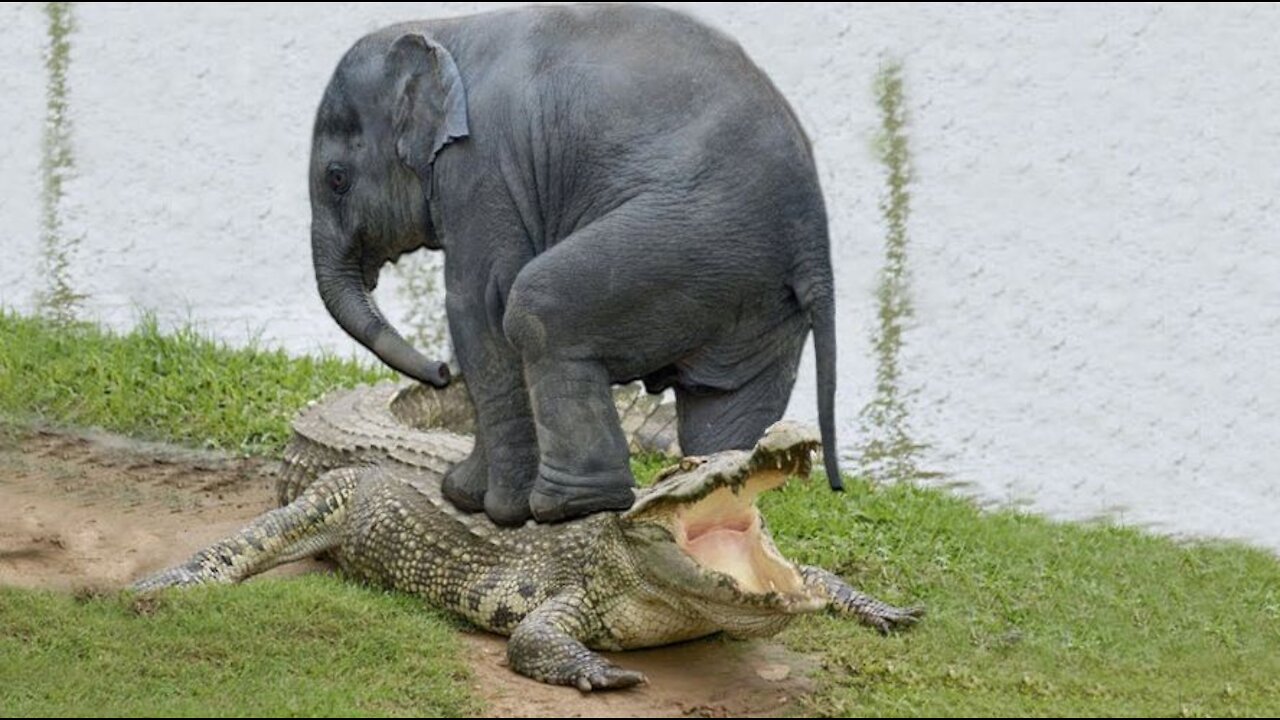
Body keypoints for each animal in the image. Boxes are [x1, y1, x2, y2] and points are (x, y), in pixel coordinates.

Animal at [308, 2, 844, 525]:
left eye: (337, 179)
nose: (438, 371)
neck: (445, 29)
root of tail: (813, 239)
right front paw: (467, 495)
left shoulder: (482, 168)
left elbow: (478, 307)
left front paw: (486, 506)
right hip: (757, 294)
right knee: (721, 399)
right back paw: (707, 478)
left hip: (689, 240)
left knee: (536, 311)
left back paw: (568, 507)